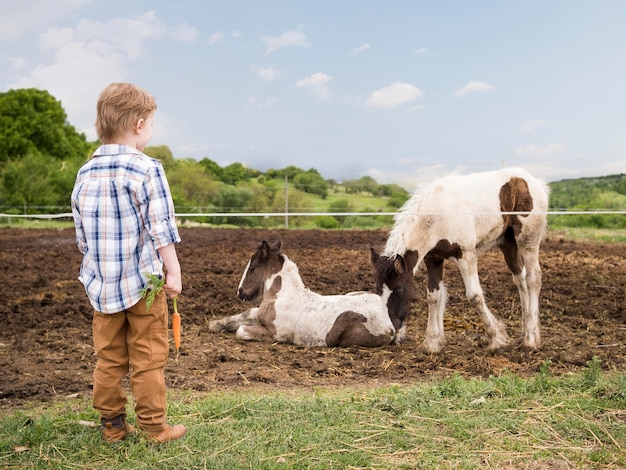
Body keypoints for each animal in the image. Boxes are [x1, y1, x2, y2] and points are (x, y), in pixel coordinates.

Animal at [370, 167, 544, 350]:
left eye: (398, 290)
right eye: (378, 291)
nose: (391, 333)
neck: (437, 214)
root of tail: (530, 179)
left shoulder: (465, 255)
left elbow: (474, 296)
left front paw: (496, 338)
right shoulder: (433, 259)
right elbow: (433, 296)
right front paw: (432, 343)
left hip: (528, 239)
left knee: (533, 278)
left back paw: (531, 340)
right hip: (508, 243)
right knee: (520, 279)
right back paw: (524, 334)